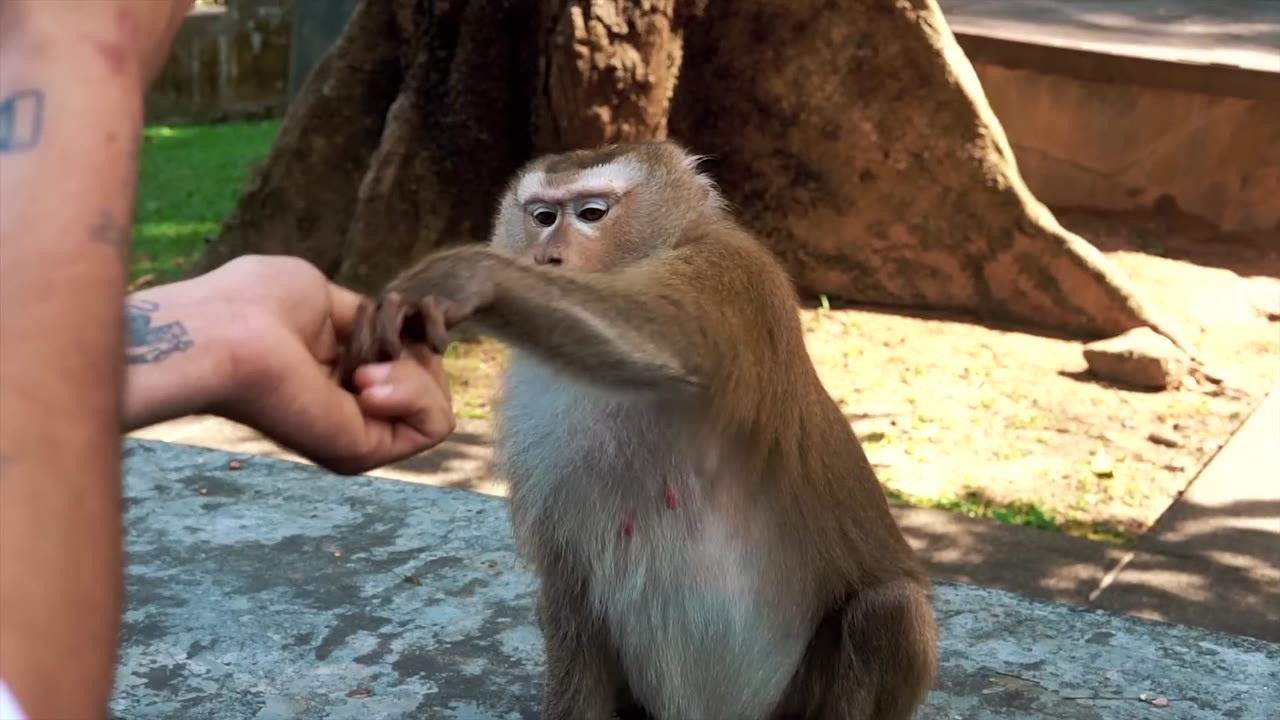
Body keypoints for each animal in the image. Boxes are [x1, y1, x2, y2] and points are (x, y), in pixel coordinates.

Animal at [339, 140, 939, 720]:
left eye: (592, 213)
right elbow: (570, 590)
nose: (549, 256)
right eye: (542, 216)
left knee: (890, 612)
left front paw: (468, 275)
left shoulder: (729, 272)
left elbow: (667, 334)